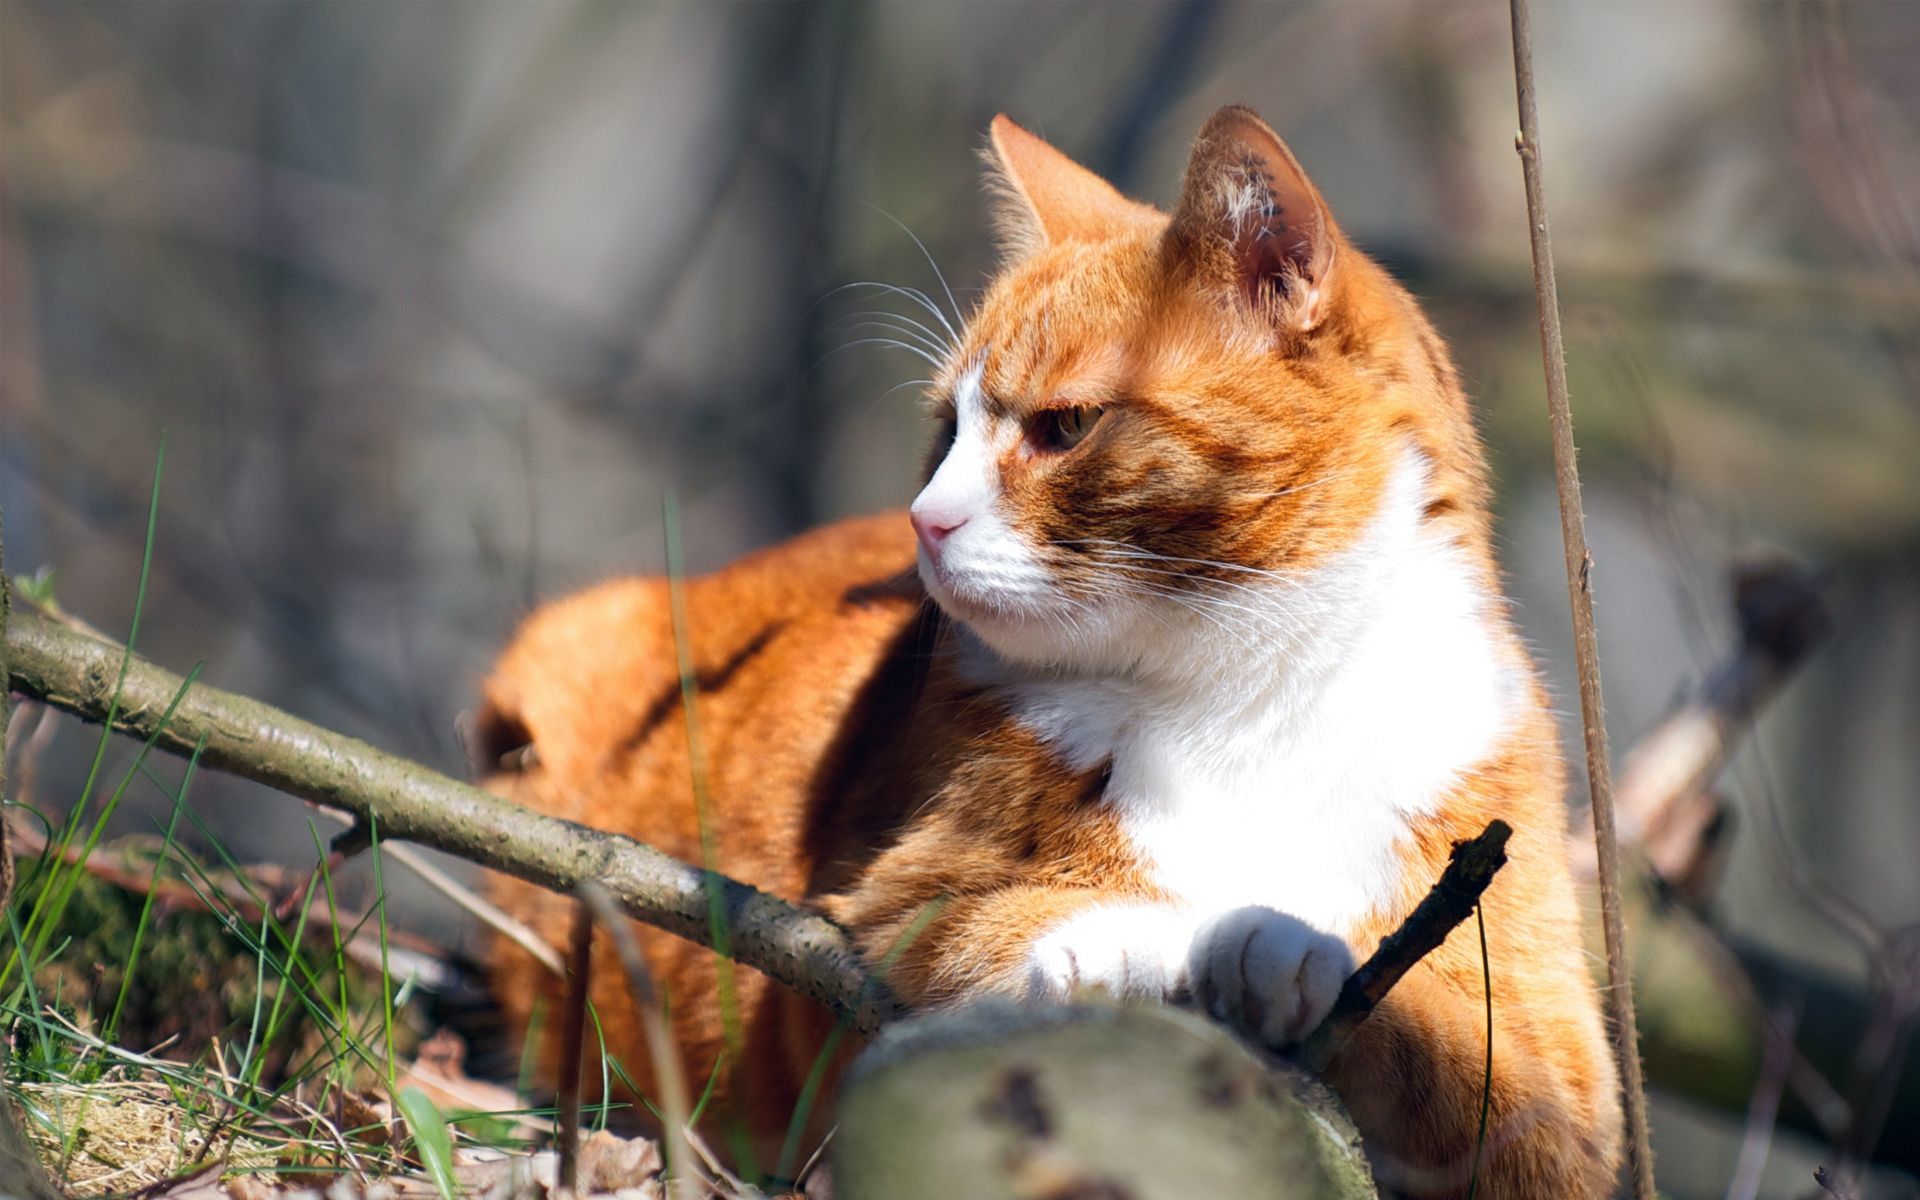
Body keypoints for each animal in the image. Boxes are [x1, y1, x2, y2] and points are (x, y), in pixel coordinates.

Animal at [476, 107, 1620, 1190]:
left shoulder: (1560, 1079)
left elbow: (1454, 1038)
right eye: (946, 429)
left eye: (1064, 427)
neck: (1247, 690)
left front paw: (1289, 947)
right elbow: (1024, 928)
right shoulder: (881, 918)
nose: (923, 521)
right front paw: (1181, 943)